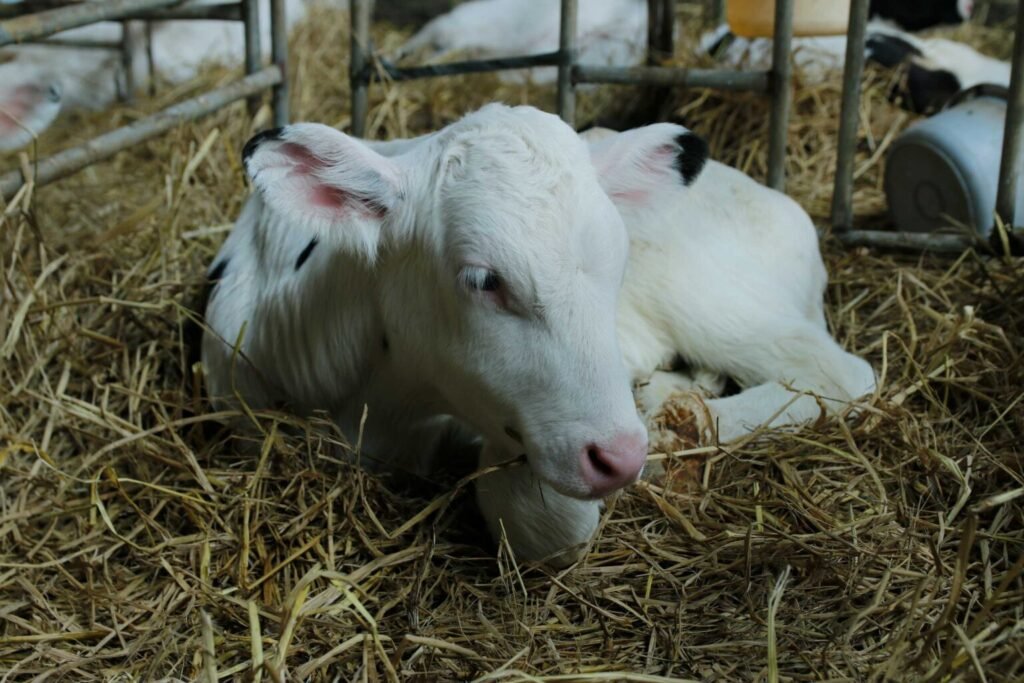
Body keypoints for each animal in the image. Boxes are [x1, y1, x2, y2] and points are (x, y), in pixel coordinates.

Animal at [199, 104, 876, 565]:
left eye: (617, 259)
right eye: (482, 279)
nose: (620, 454)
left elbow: (541, 521)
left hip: (707, 294)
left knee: (836, 372)